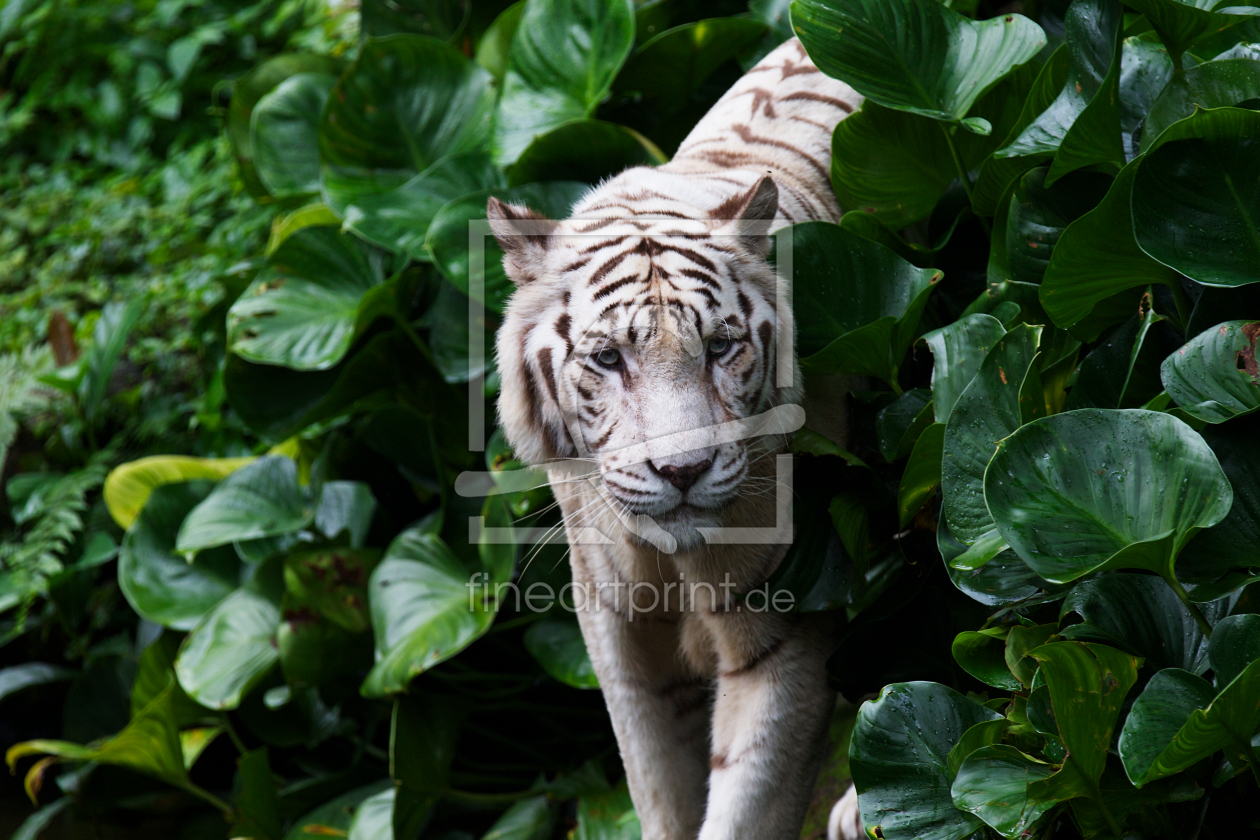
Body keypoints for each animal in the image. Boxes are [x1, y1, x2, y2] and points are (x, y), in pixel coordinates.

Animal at [488, 37, 866, 840]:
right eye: (607, 359)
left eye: (721, 347)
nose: (684, 470)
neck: (669, 561)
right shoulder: (621, 639)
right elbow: (658, 789)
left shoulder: (787, 627)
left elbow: (747, 803)